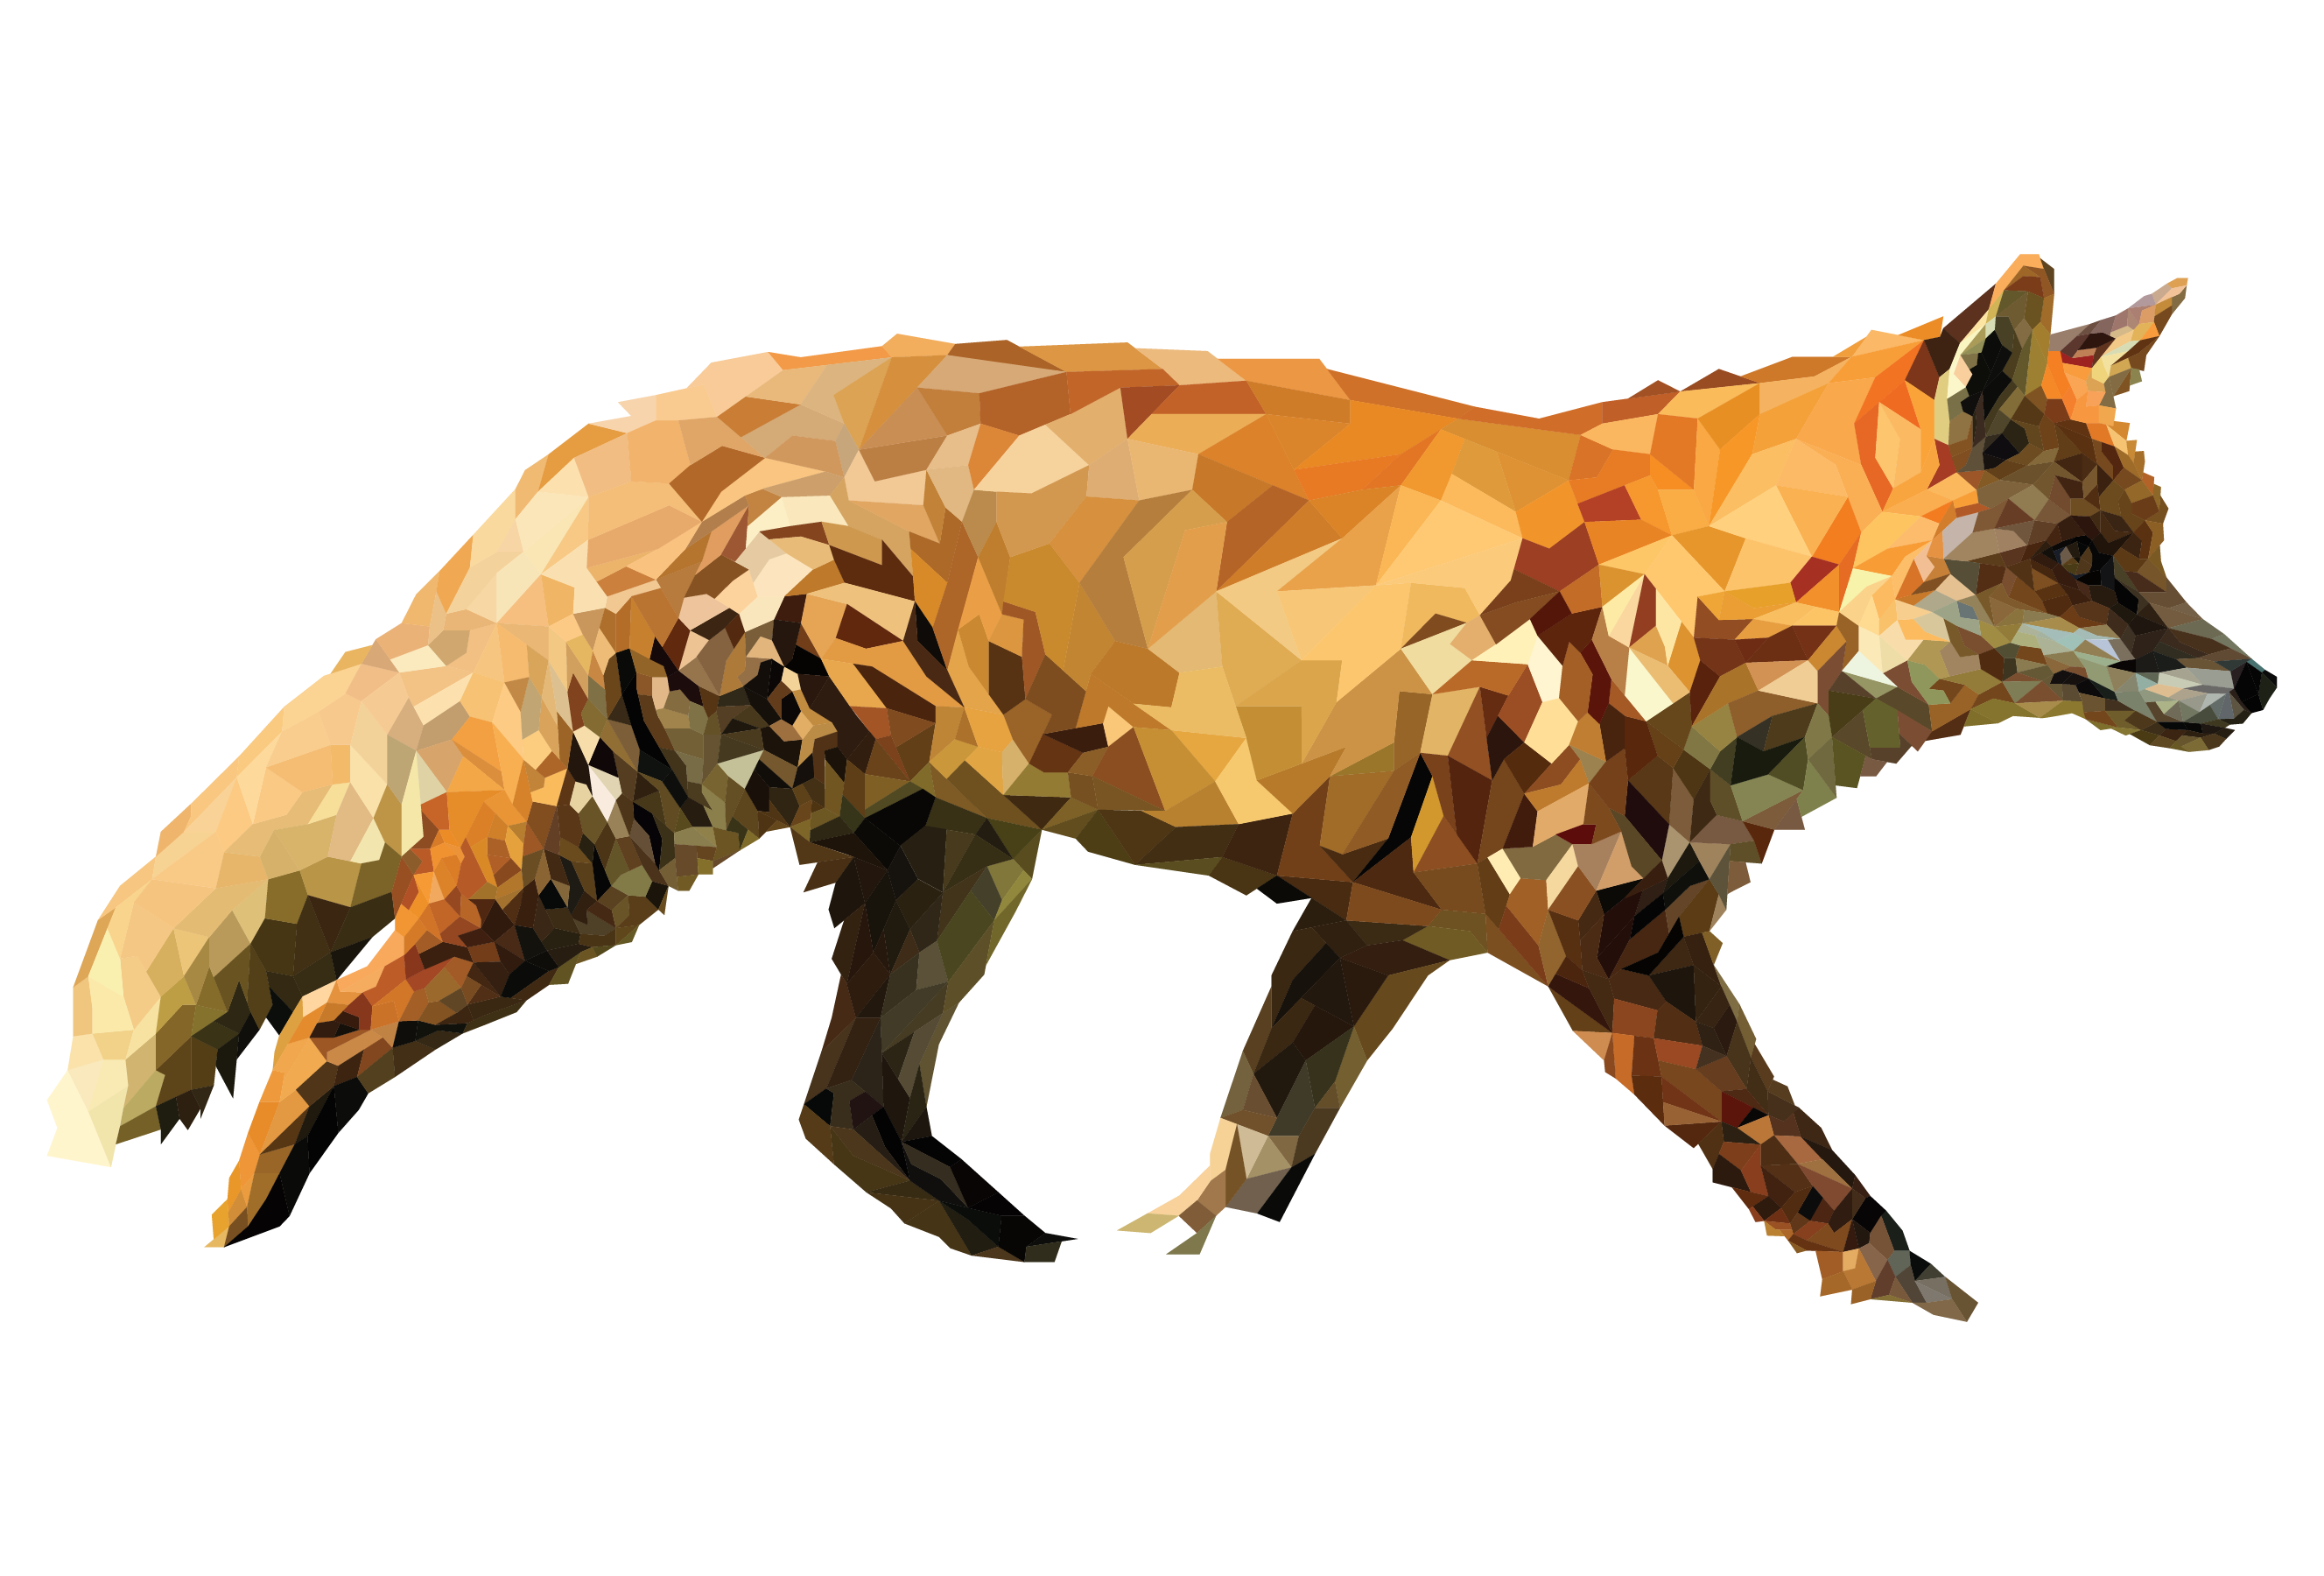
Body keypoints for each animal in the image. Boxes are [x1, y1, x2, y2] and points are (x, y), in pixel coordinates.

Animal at [47, 256, 2273, 1319]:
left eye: (2153, 546)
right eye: (2091, 562)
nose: (2256, 684)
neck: (1694, 600)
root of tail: (613, 428)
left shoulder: (1375, 927)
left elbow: (1241, 1166)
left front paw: (1187, 1289)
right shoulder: (1610, 953)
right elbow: (1824, 1188)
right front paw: (1943, 1317)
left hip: (952, 873)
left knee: (842, 1108)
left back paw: (1030, 1280)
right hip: (595, 868)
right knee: (325, 1029)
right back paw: (230, 1266)